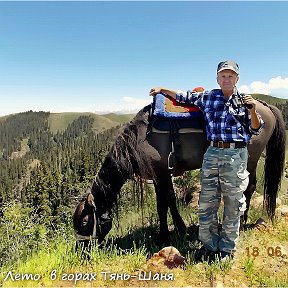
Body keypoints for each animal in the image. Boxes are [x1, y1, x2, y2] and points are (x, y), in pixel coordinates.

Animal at [73, 100, 286, 246]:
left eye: (84, 221)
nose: (82, 249)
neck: (138, 138)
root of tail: (265, 106)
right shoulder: (162, 175)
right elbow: (171, 200)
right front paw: (180, 228)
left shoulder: (159, 174)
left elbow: (161, 205)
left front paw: (164, 237)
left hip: (249, 159)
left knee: (248, 188)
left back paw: (241, 223)